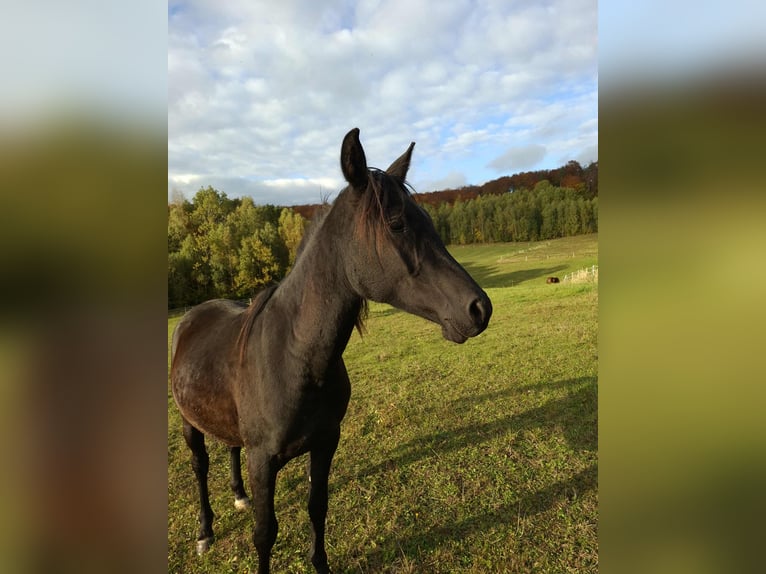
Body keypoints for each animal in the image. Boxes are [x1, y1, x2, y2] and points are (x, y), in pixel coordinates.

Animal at [170, 128, 492, 573]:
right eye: (396, 224)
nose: (479, 308)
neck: (294, 357)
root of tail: (191, 317)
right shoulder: (262, 460)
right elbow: (264, 533)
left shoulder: (325, 443)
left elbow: (316, 508)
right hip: (189, 424)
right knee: (199, 468)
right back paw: (205, 532)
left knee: (229, 448)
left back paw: (238, 496)